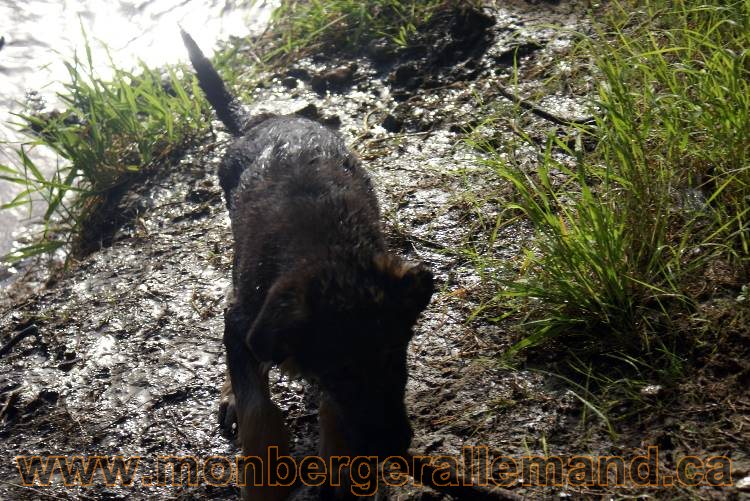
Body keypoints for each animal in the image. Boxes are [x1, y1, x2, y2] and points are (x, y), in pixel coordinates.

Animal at [181, 30, 434, 496]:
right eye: (339, 373)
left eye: (398, 356)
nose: (393, 446)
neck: (329, 253)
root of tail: (259, 120)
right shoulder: (248, 318)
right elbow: (259, 410)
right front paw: (264, 476)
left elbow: (330, 414)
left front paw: (341, 462)